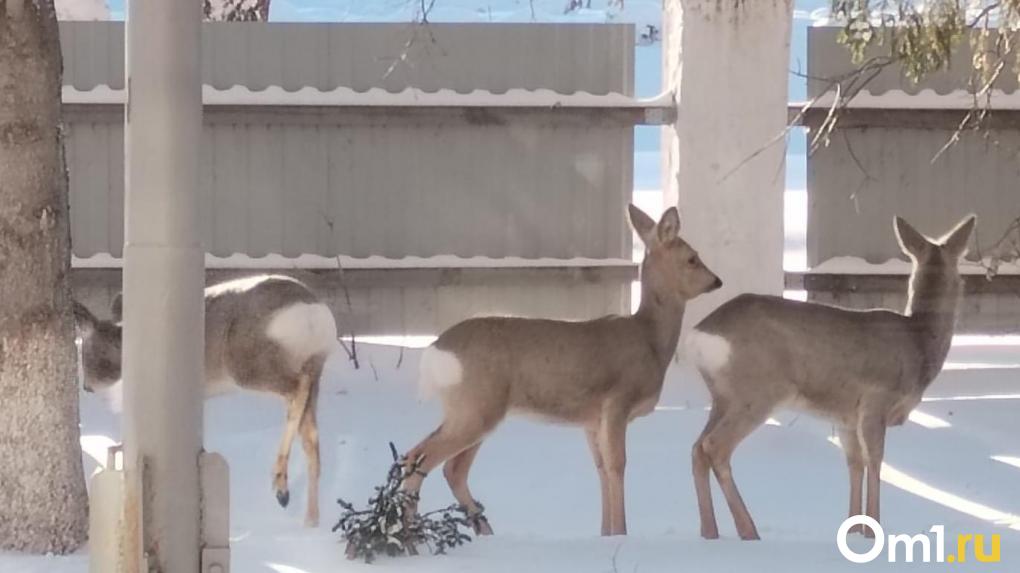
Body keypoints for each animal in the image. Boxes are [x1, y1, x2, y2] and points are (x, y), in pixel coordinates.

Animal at [72, 271, 334, 526]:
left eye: (86, 353)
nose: (86, 386)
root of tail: (313, 314)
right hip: (313, 365)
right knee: (311, 434)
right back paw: (310, 518)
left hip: (248, 364)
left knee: (297, 388)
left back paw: (280, 485)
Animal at [397, 202, 726, 534]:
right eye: (692, 258)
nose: (717, 281)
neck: (650, 339)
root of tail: (435, 351)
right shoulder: (616, 401)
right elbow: (617, 465)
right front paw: (622, 533)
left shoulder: (592, 419)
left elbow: (601, 469)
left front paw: (606, 534)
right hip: (477, 407)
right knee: (423, 459)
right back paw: (411, 535)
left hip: (472, 409)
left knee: (446, 466)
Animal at [689, 212, 975, 538]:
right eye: (962, 274)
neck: (918, 342)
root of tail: (699, 335)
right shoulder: (876, 401)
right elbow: (876, 461)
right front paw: (874, 531)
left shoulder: (846, 416)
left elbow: (855, 464)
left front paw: (854, 530)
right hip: (758, 392)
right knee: (715, 447)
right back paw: (748, 530)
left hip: (723, 396)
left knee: (697, 448)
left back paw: (709, 532)